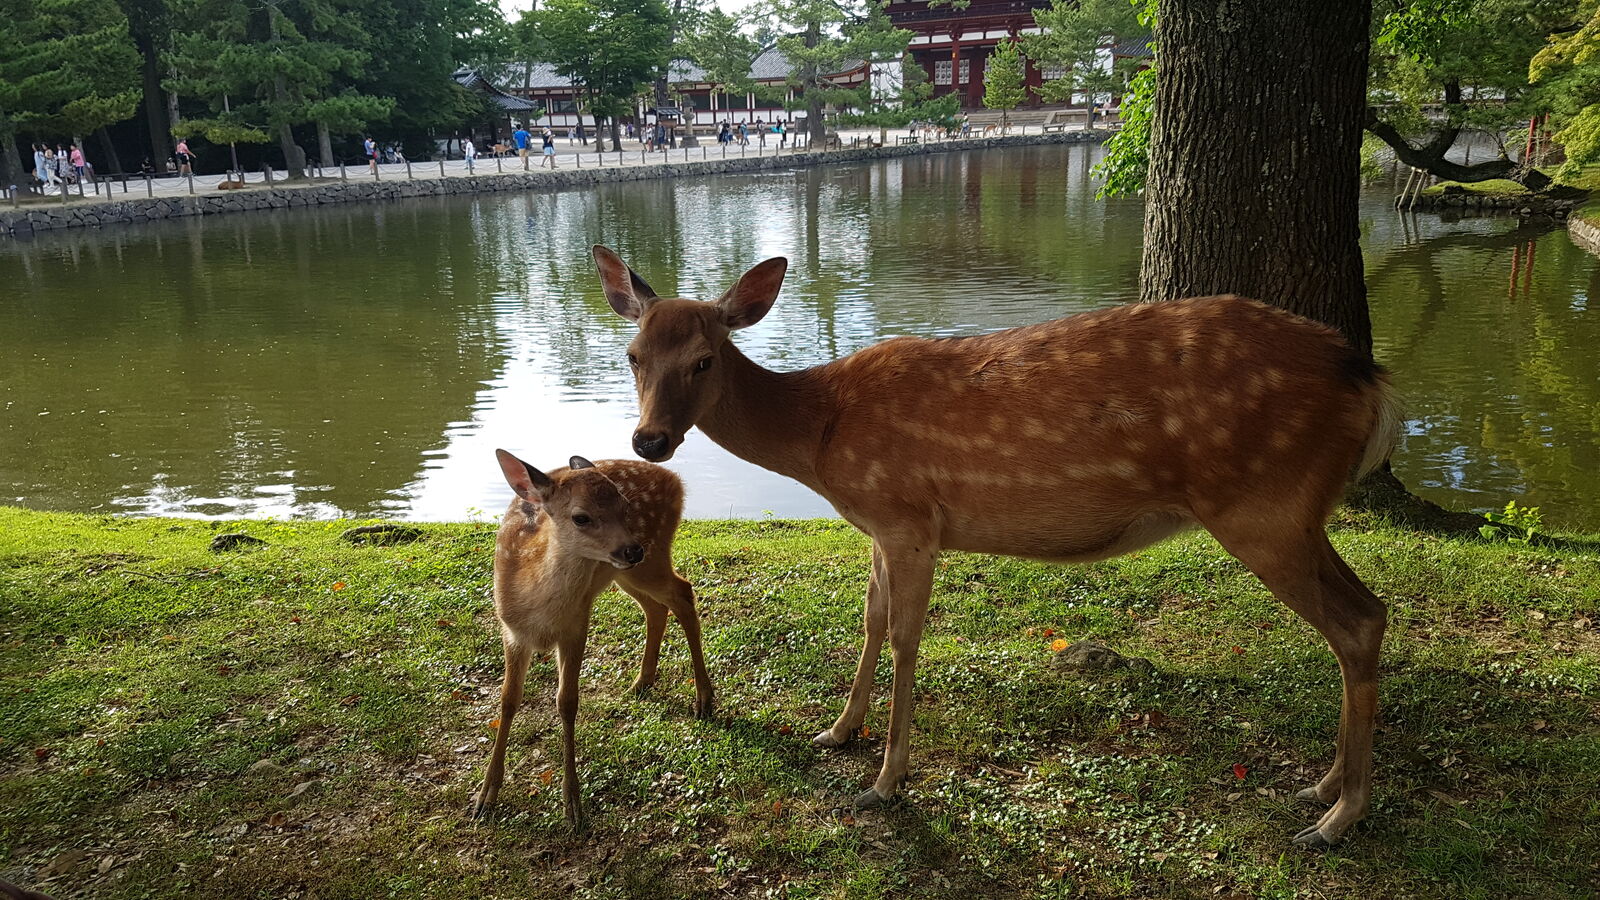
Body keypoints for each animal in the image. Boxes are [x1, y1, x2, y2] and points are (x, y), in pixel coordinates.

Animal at [470, 449, 714, 826]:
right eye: (581, 517)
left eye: (624, 506)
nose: (632, 550)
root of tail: (675, 480)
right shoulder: (511, 632)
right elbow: (508, 700)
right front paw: (485, 797)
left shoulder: (577, 624)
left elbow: (567, 702)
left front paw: (572, 803)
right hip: (625, 573)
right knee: (657, 608)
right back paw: (642, 681)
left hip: (650, 558)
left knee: (684, 594)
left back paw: (703, 697)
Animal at [592, 245, 1402, 849]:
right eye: (632, 354)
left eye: (704, 359)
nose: (649, 440)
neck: (821, 436)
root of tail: (1371, 379)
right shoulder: (881, 524)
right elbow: (871, 621)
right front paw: (837, 733)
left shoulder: (909, 518)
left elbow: (906, 639)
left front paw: (885, 783)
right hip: (1296, 513)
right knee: (1368, 612)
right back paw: (1324, 786)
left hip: (1262, 506)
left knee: (1358, 621)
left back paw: (1337, 817)